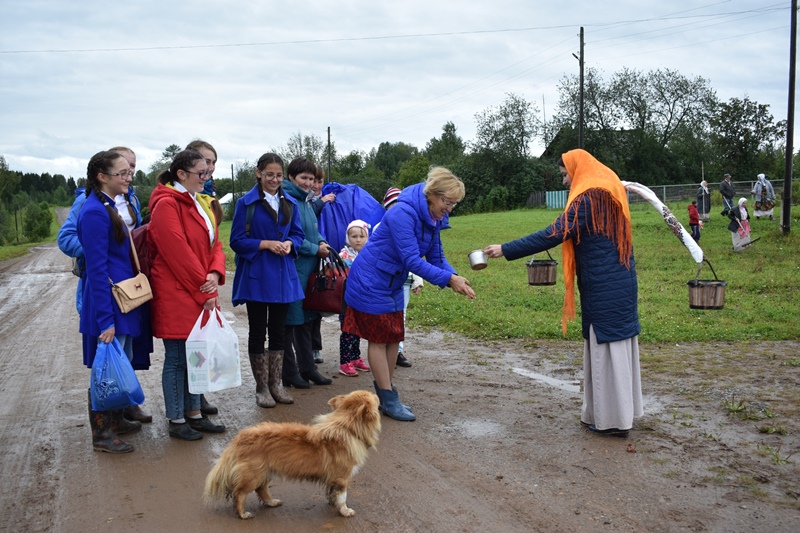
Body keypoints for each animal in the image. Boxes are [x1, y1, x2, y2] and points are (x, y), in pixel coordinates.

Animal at [205, 388, 382, 516]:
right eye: (373, 397)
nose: (376, 393)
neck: (347, 427)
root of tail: (239, 438)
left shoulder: (333, 479)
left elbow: (332, 493)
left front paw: (333, 504)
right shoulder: (342, 478)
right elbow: (343, 497)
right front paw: (345, 511)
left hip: (265, 472)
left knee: (261, 490)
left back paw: (272, 502)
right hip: (253, 475)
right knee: (239, 493)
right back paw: (242, 514)